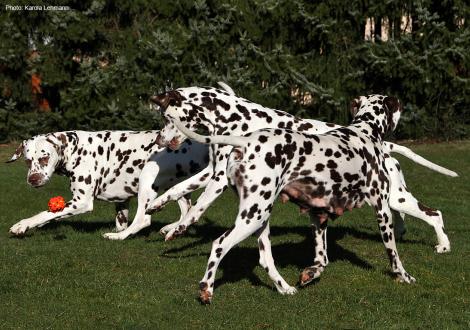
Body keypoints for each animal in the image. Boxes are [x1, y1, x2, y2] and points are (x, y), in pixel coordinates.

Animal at [6, 130, 208, 236]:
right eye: (27, 161)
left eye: (44, 158)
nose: (33, 179)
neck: (76, 149)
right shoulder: (121, 202)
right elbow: (52, 215)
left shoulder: (81, 202)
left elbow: (45, 213)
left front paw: (23, 225)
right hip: (178, 189)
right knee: (187, 211)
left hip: (147, 181)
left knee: (143, 220)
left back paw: (118, 237)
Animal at [148, 85, 456, 255]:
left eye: (167, 118)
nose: (158, 141)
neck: (237, 119)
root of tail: (387, 145)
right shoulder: (211, 173)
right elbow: (179, 191)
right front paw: (160, 210)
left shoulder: (218, 179)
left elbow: (196, 209)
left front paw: (178, 230)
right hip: (392, 197)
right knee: (405, 216)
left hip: (396, 198)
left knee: (435, 214)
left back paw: (443, 245)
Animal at [172, 94, 430, 302]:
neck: (364, 132)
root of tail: (245, 141)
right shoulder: (382, 211)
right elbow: (393, 254)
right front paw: (404, 276)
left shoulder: (319, 216)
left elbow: (322, 260)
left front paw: (310, 274)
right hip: (252, 218)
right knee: (219, 244)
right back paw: (207, 289)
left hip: (259, 218)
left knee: (266, 260)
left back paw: (284, 288)